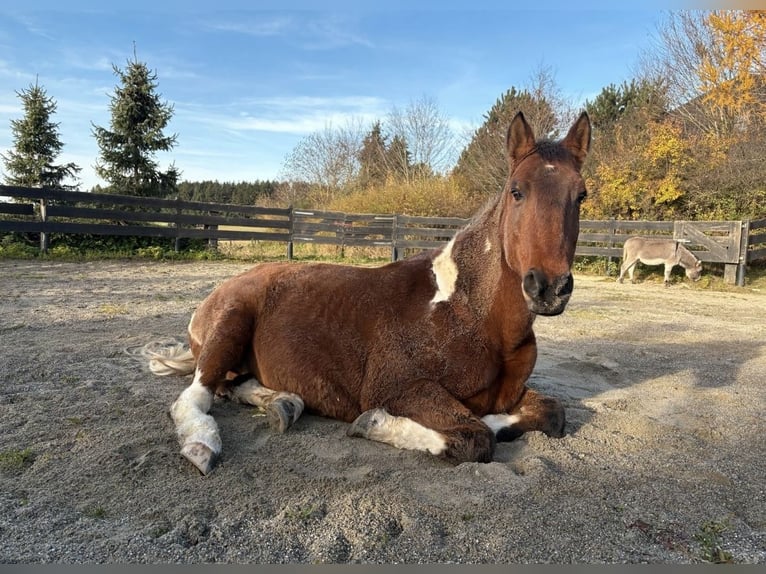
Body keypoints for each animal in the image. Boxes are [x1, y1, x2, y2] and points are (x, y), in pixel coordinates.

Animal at [142, 111, 592, 475]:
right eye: (517, 190)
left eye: (581, 195)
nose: (548, 288)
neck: (468, 313)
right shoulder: (400, 388)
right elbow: (475, 435)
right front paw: (375, 423)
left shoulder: (510, 395)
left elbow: (551, 414)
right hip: (231, 323)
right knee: (194, 397)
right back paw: (203, 445)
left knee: (237, 385)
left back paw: (284, 404)